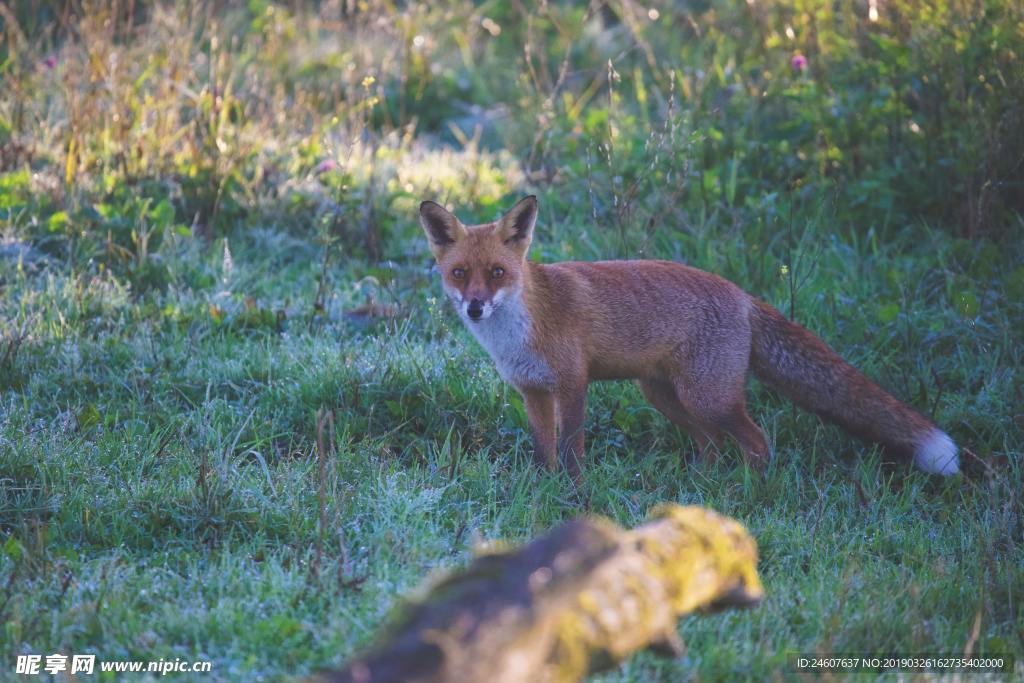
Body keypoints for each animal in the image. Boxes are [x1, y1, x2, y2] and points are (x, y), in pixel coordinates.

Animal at [415, 194, 958, 479]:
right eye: (460, 273)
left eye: (498, 273)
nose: (475, 306)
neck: (519, 331)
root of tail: (742, 294)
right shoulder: (532, 391)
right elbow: (543, 451)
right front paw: (544, 488)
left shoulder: (572, 385)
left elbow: (571, 450)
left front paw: (573, 494)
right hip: (666, 396)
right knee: (712, 444)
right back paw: (700, 491)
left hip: (706, 397)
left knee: (757, 442)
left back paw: (749, 495)